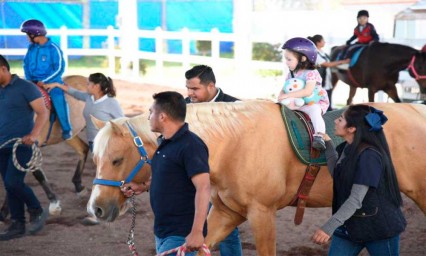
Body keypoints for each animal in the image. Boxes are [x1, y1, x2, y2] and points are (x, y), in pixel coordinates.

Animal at [0, 75, 89, 219]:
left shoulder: (29, 145)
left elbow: (36, 174)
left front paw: (54, 204)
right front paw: (4, 211)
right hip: (70, 135)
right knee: (84, 149)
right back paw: (79, 186)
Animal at [87, 101, 426, 255]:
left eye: (116, 159)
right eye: (95, 159)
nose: (96, 209)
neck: (233, 145)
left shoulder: (262, 215)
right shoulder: (226, 214)